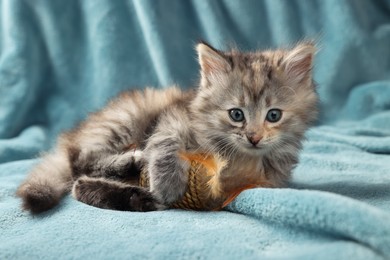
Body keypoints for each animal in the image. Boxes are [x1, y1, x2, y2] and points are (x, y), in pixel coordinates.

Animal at [16, 42, 318, 213]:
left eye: (273, 115)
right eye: (236, 114)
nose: (254, 137)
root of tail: (72, 135)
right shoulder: (173, 118)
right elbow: (165, 143)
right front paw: (168, 182)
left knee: (79, 182)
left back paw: (136, 196)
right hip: (126, 118)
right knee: (80, 162)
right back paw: (131, 165)